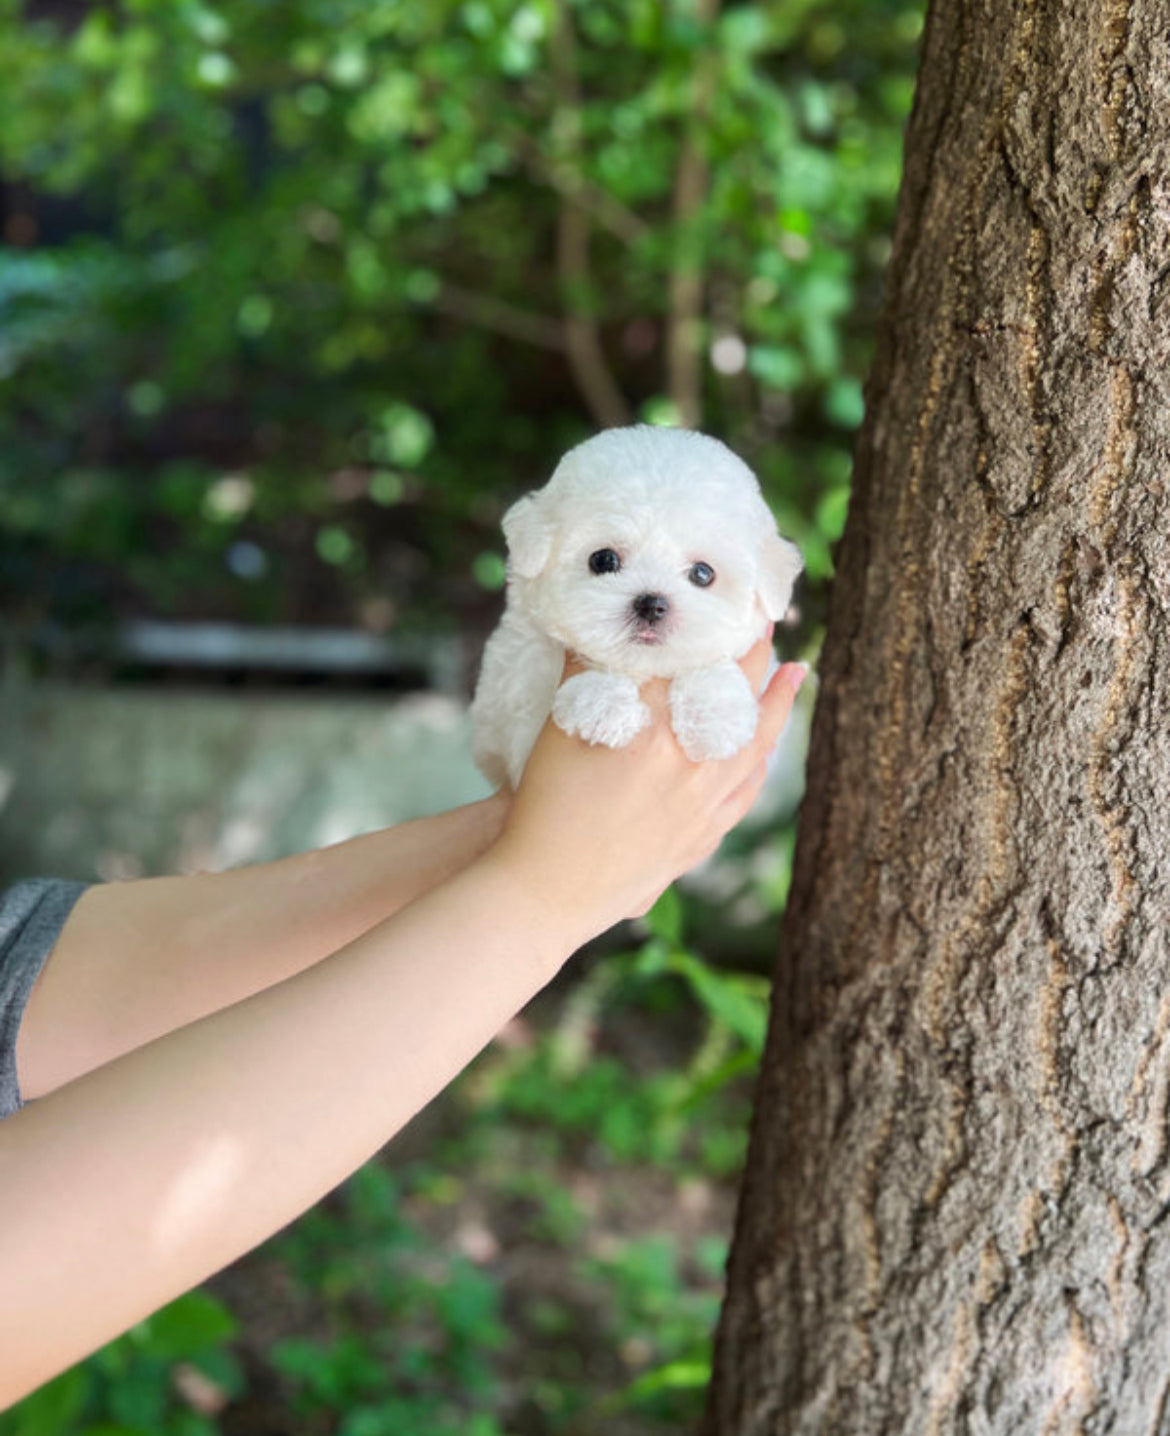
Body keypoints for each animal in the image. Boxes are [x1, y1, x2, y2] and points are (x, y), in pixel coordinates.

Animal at [468, 419, 803, 792]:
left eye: (703, 574)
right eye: (603, 560)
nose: (652, 604)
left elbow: (712, 664)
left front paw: (714, 716)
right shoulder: (510, 704)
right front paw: (602, 705)